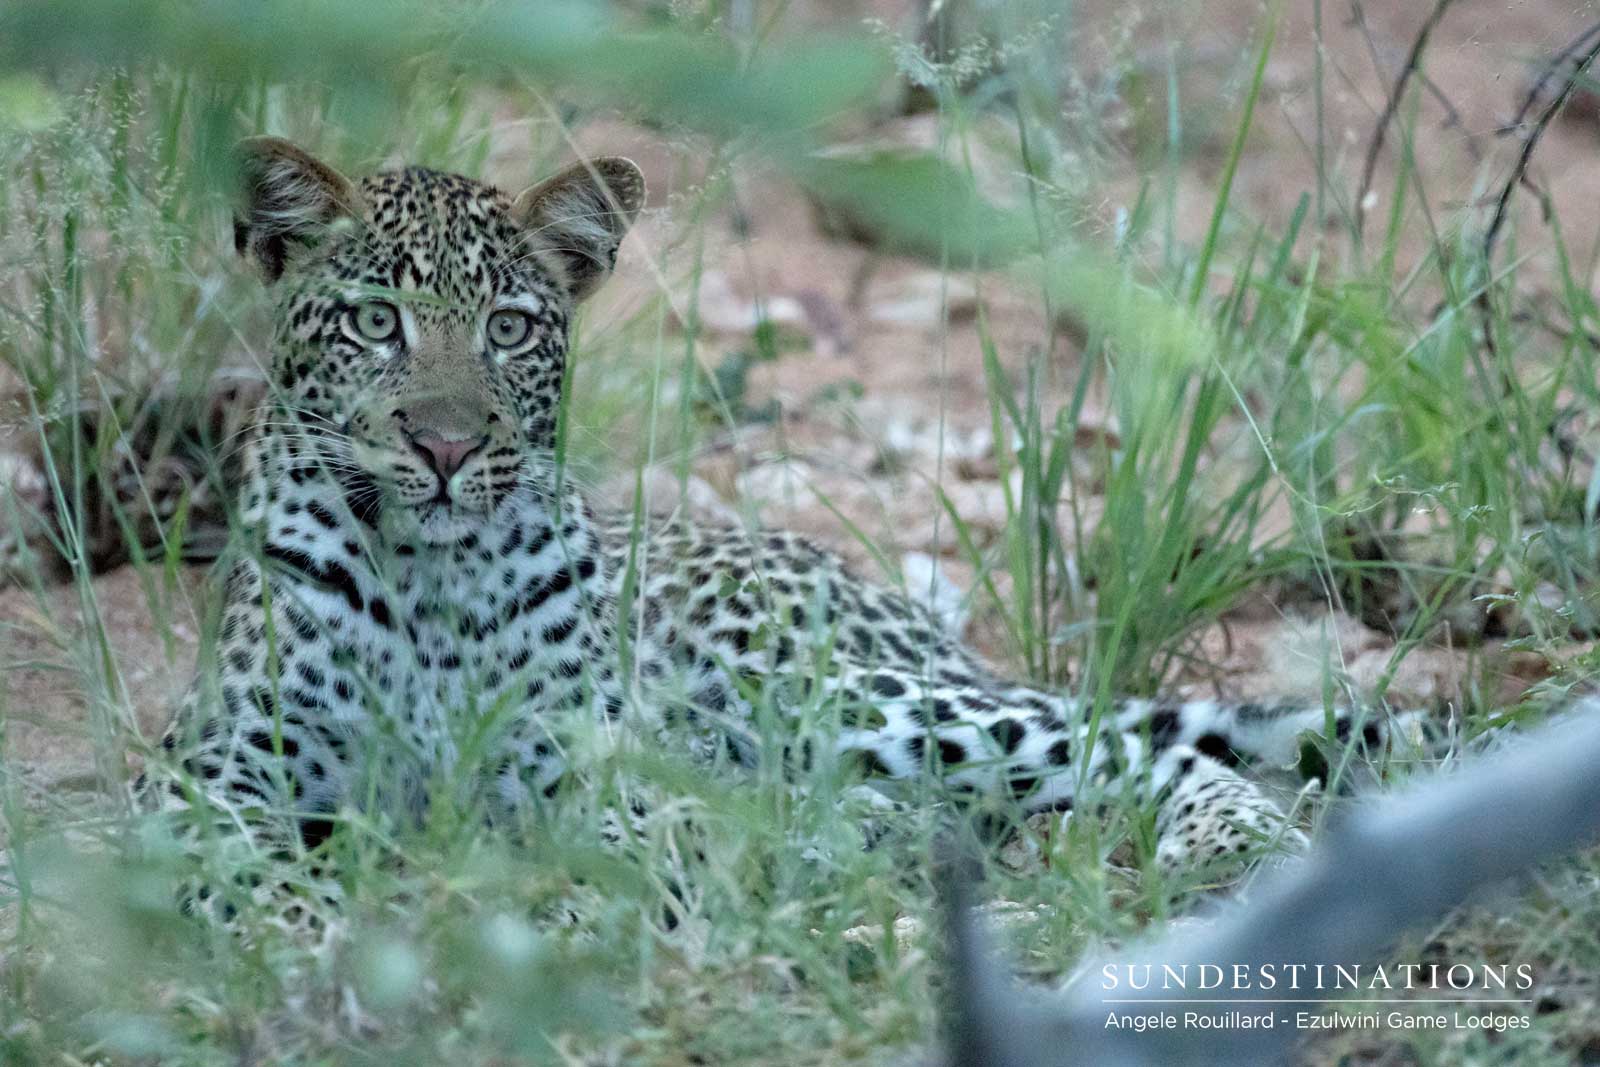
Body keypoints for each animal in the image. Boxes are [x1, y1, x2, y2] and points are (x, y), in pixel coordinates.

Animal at [128, 136, 1405, 939]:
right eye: (375, 323)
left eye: (510, 327)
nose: (443, 444)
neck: (428, 578)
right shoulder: (209, 767)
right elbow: (240, 855)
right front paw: (309, 927)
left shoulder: (589, 763)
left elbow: (623, 837)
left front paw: (582, 905)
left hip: (839, 687)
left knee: (1115, 742)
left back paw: (1231, 835)